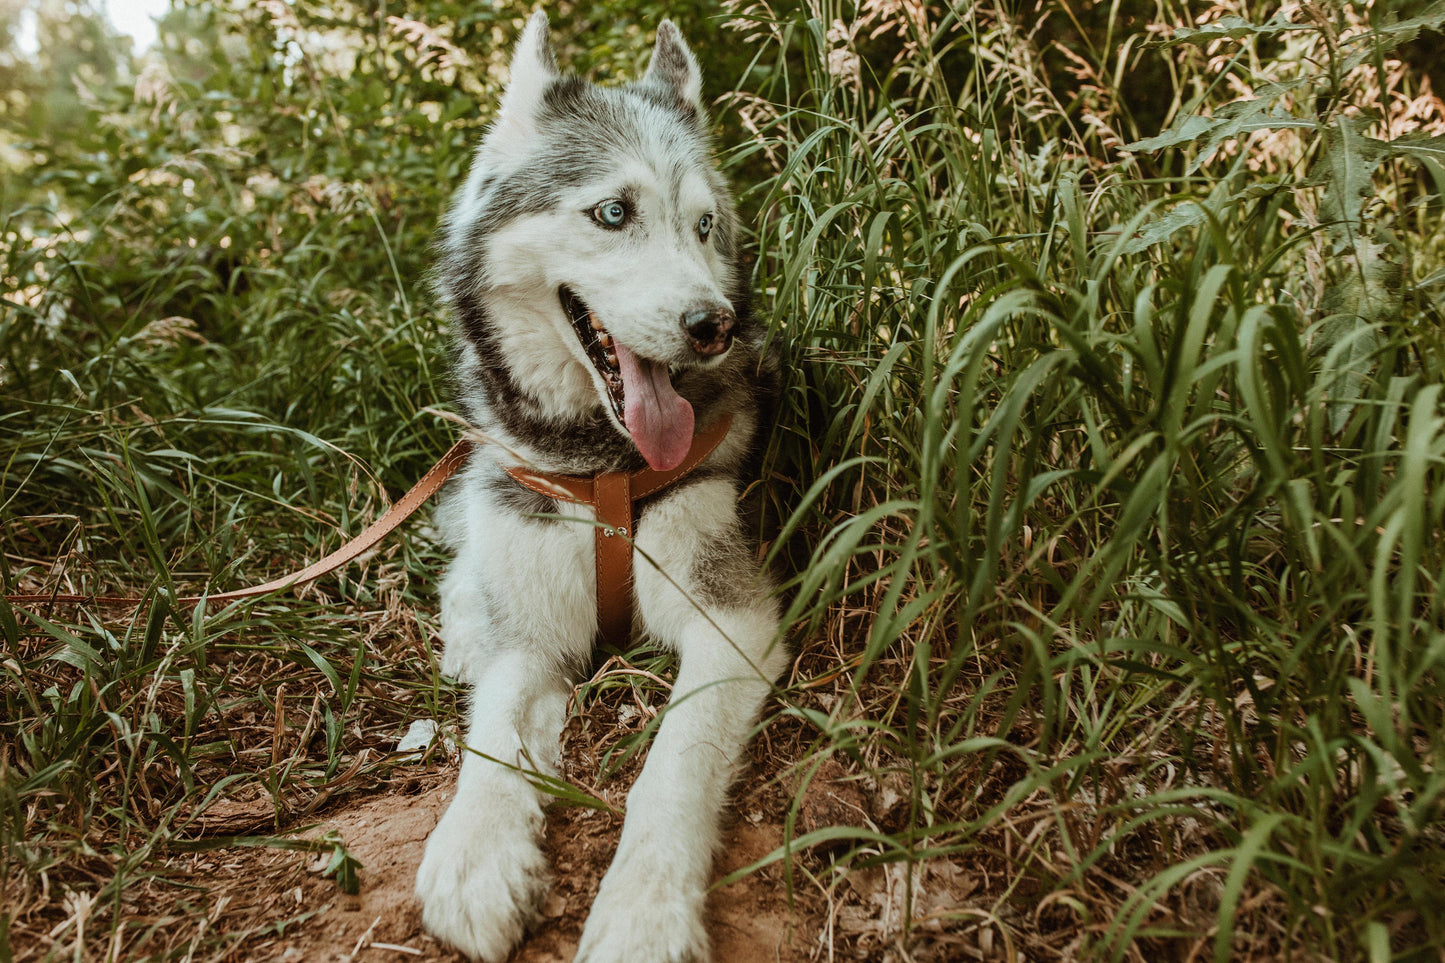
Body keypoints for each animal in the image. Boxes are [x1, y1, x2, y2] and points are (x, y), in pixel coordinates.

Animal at [413, 13, 786, 960]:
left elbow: (673, 762)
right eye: (613, 213)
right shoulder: (532, 638)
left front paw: (643, 911)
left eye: (703, 225)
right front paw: (474, 851)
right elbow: (494, 731)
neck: (601, 468)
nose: (712, 324)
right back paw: (465, 625)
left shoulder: (731, 621)